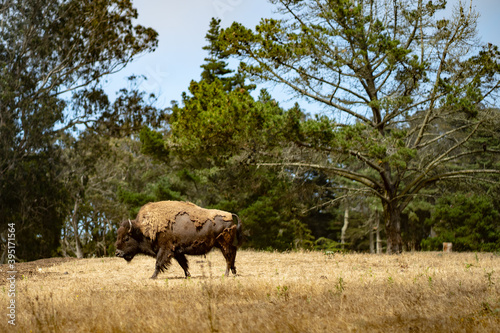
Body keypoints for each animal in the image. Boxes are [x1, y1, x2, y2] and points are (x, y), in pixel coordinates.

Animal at [115, 200, 244, 278]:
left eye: (126, 238)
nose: (117, 253)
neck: (143, 228)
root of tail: (230, 215)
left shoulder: (165, 249)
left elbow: (158, 263)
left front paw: (152, 277)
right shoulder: (177, 251)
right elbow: (183, 264)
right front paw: (188, 276)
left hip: (223, 244)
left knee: (228, 257)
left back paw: (226, 274)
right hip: (224, 244)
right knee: (233, 254)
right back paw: (233, 272)